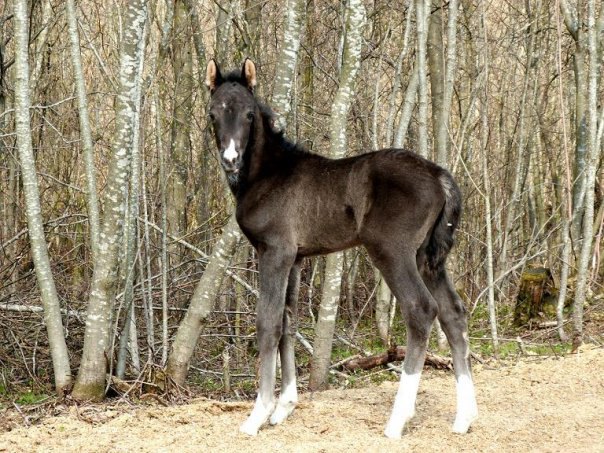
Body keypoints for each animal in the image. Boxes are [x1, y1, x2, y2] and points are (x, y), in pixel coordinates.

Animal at [205, 59, 478, 438]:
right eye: (213, 113)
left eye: (248, 114)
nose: (231, 159)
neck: (267, 175)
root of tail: (440, 175)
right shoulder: (296, 258)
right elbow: (288, 322)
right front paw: (284, 406)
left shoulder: (274, 251)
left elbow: (268, 322)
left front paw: (258, 414)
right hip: (428, 257)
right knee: (453, 313)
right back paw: (464, 418)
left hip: (392, 252)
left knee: (421, 310)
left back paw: (397, 420)